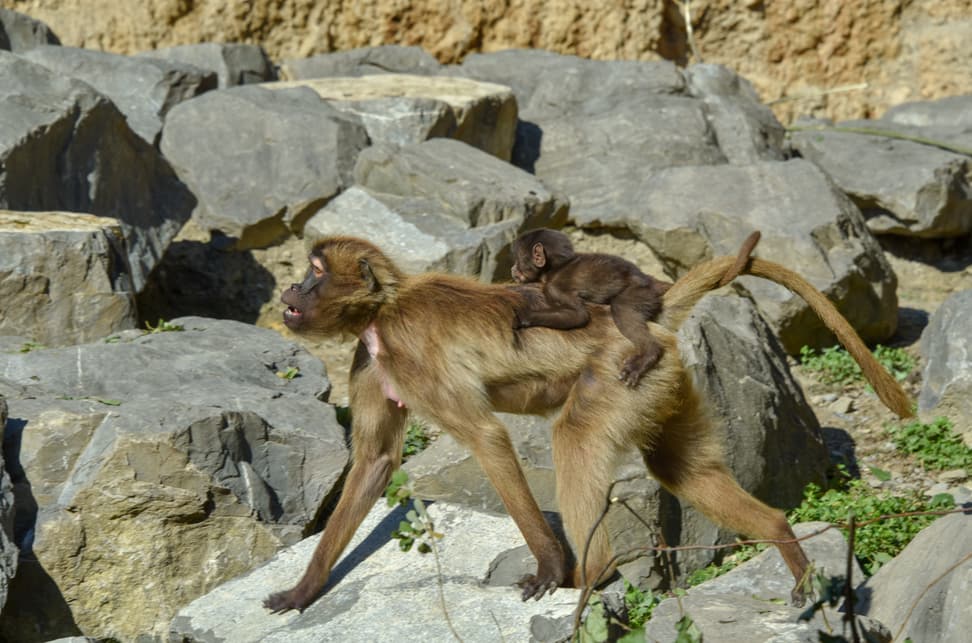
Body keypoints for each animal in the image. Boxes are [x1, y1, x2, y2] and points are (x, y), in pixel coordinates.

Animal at [508, 228, 676, 388]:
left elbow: (579, 316)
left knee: (621, 308)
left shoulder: (553, 288)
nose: (512, 269)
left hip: (640, 292)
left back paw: (648, 354)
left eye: (517, 261)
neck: (554, 269)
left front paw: (523, 316)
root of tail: (648, 280)